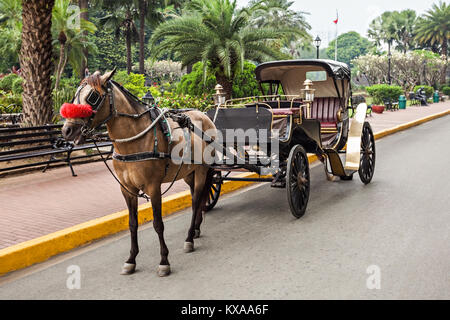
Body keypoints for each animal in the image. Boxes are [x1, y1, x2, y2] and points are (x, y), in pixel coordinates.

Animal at [61, 70, 216, 278]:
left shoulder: (153, 186)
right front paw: (131, 260)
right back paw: (196, 229)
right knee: (197, 199)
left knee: (196, 201)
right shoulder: (127, 189)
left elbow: (158, 223)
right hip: (189, 172)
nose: (67, 130)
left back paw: (189, 238)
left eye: (92, 97)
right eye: (74, 96)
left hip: (202, 170)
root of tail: (204, 116)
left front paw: (164, 261)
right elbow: (132, 224)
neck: (135, 139)